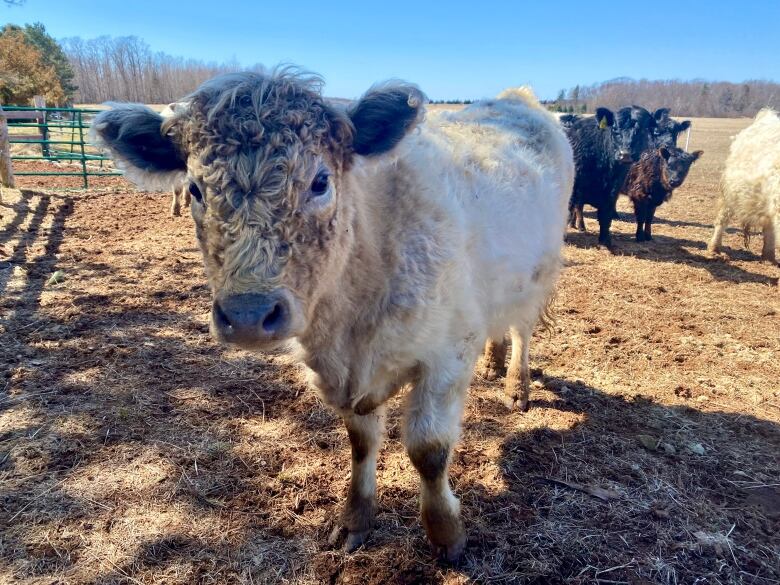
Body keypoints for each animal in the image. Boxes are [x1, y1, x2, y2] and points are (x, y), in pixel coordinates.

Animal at [93, 70, 572, 560]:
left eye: (320, 181)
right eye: (194, 189)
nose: (247, 315)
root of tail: (517, 98)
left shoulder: (448, 355)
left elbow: (428, 450)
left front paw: (446, 534)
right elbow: (361, 443)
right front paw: (355, 520)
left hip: (539, 273)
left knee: (523, 330)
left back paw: (516, 385)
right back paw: (494, 362)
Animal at [564, 106, 656, 245]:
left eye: (641, 131)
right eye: (615, 129)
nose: (625, 154)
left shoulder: (612, 191)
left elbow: (606, 216)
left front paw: (605, 240)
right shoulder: (574, 188)